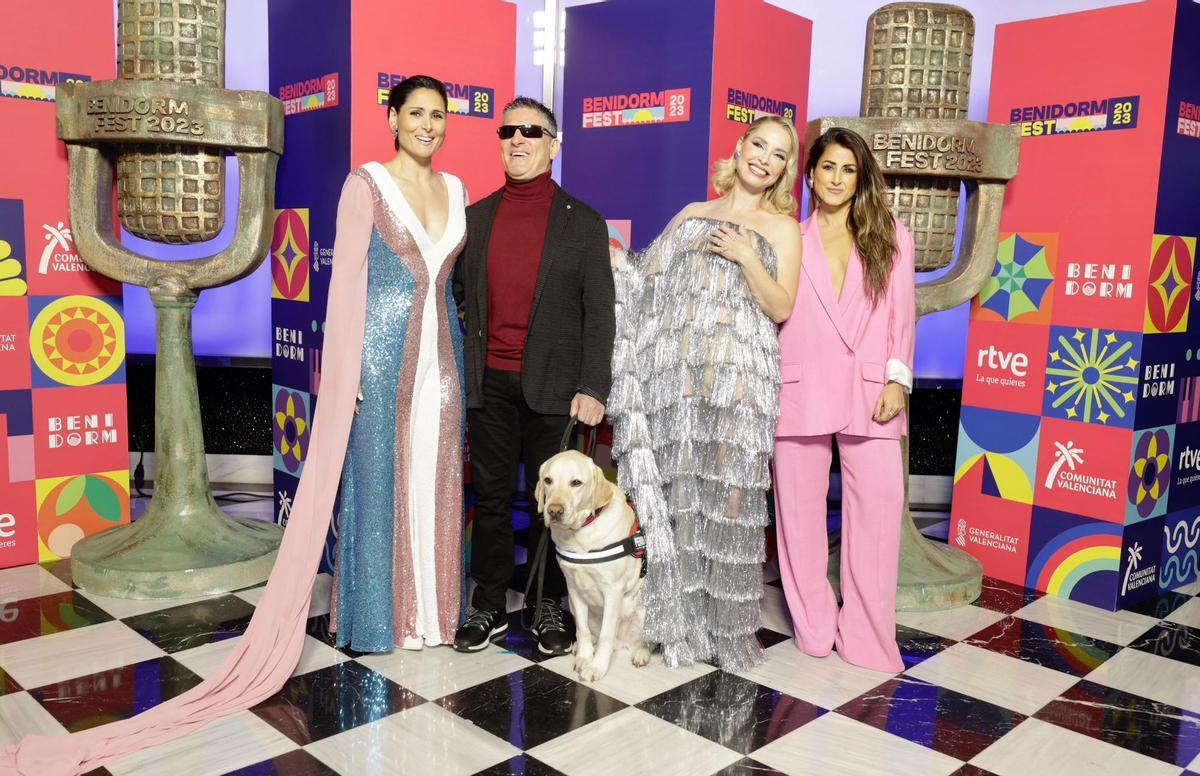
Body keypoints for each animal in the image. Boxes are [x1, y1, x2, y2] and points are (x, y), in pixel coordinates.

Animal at [535, 450, 651, 681]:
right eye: (548, 480)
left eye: (576, 482)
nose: (554, 510)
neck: (581, 533)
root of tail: (622, 644)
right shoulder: (574, 589)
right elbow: (582, 629)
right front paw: (584, 657)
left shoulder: (613, 590)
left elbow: (607, 633)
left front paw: (597, 667)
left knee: (646, 641)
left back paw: (641, 653)